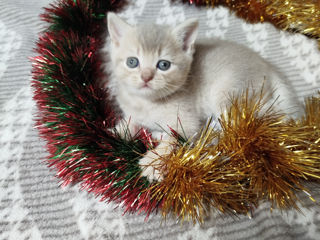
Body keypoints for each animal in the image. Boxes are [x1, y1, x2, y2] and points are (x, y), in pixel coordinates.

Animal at [104, 12, 302, 182]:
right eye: (132, 62)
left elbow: (173, 138)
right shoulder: (134, 113)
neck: (147, 103)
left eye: (163, 65)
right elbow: (130, 123)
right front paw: (112, 135)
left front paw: (153, 162)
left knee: (250, 121)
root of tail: (268, 66)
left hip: (228, 95)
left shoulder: (186, 122)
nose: (146, 77)